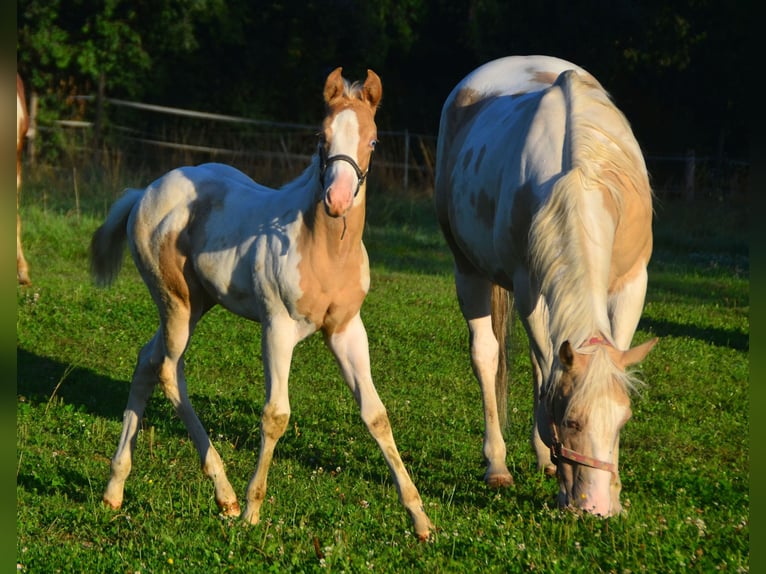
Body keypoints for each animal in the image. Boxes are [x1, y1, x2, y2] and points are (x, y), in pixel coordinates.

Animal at [90, 70, 432, 544]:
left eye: (374, 140)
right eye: (320, 136)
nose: (338, 199)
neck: (323, 249)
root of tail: (146, 192)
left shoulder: (347, 329)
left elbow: (376, 415)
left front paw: (420, 519)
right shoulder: (277, 326)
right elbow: (275, 415)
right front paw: (253, 511)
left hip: (198, 303)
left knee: (146, 361)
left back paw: (115, 488)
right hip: (175, 302)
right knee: (169, 370)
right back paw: (226, 495)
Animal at [438, 56, 660, 520]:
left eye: (623, 420)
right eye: (571, 421)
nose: (595, 507)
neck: (578, 179)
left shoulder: (633, 284)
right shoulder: (529, 290)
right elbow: (543, 375)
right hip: (468, 270)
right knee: (487, 356)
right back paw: (498, 465)